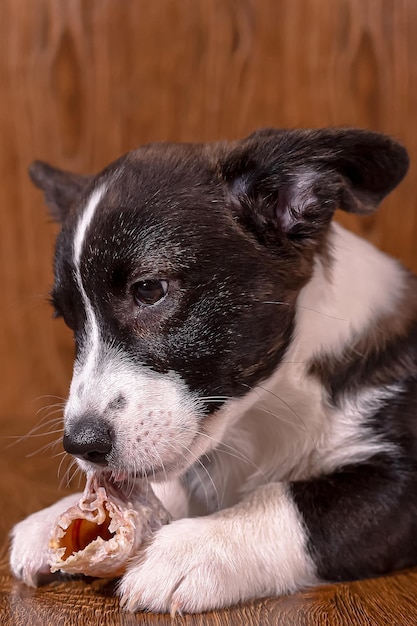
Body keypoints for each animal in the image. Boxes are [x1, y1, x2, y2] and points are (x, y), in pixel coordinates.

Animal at [9, 128, 416, 616]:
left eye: (150, 290)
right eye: (68, 320)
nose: (80, 445)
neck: (265, 412)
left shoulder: (401, 480)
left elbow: (293, 499)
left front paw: (199, 546)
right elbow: (165, 481)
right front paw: (58, 515)